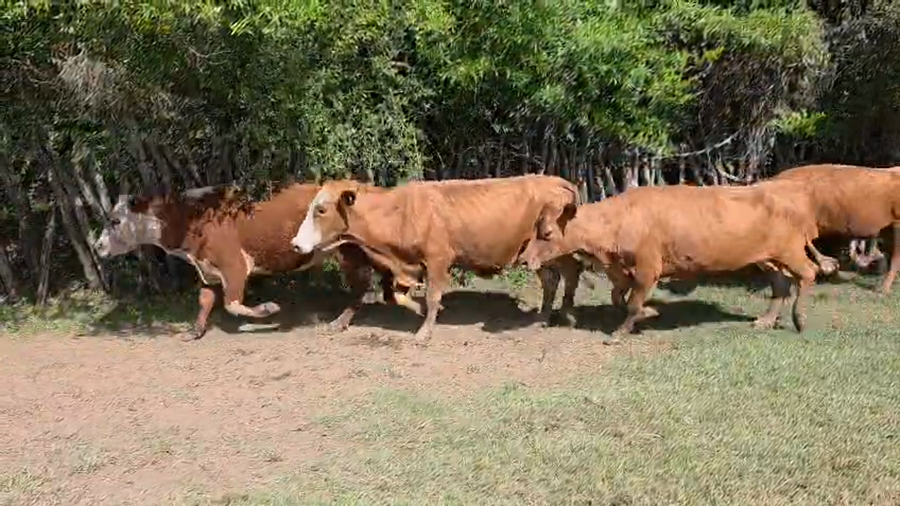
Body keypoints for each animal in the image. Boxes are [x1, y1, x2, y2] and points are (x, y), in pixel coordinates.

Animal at [92, 183, 415, 341]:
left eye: (115, 220)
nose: (97, 247)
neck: (191, 221)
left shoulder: (234, 266)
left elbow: (233, 304)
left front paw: (268, 310)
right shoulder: (208, 271)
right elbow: (205, 301)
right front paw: (194, 331)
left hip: (349, 251)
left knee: (362, 286)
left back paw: (340, 322)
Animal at [289, 175, 586, 341]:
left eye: (321, 209)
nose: (295, 244)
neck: (400, 212)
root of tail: (557, 180)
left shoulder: (437, 260)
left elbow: (432, 295)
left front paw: (424, 332)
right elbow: (393, 295)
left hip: (554, 249)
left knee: (570, 273)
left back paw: (565, 315)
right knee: (552, 279)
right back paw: (543, 317)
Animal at [517, 184, 824, 344]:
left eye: (547, 233)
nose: (524, 258)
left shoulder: (648, 268)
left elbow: (632, 303)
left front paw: (622, 330)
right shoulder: (621, 270)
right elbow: (619, 297)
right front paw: (647, 313)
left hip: (790, 251)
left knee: (809, 273)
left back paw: (799, 320)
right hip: (766, 258)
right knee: (781, 283)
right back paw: (766, 320)